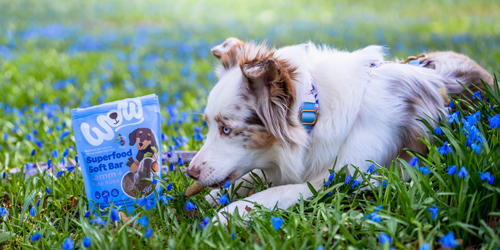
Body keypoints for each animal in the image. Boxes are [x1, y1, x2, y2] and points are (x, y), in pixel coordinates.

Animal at [186, 37, 494, 223]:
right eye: (208, 125)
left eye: (227, 129)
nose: (190, 173)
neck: (316, 111)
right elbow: (255, 174)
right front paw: (219, 194)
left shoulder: (351, 178)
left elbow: (280, 191)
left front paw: (230, 213)